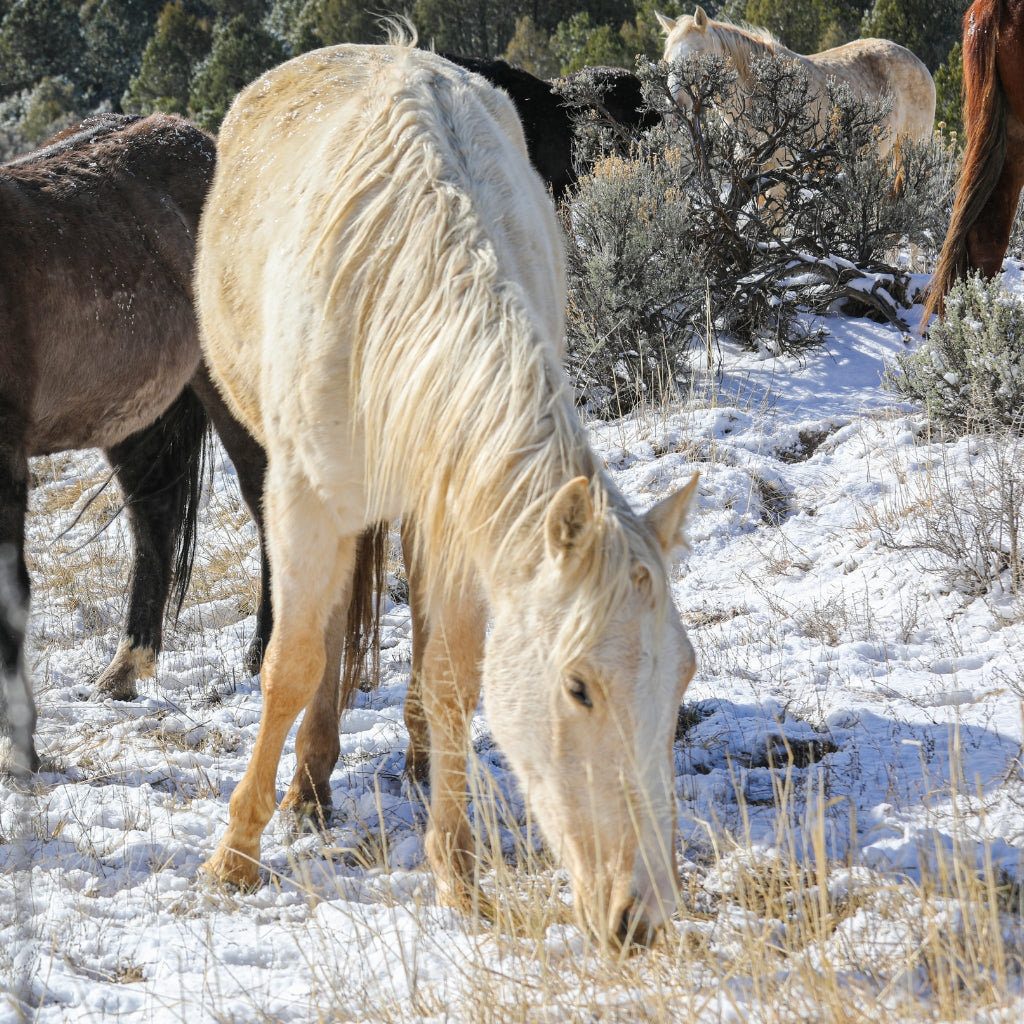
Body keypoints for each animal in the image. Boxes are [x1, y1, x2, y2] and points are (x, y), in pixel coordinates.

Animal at [195, 34, 700, 958]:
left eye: (683, 675)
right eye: (579, 687)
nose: (640, 917)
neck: (401, 290)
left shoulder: (463, 514)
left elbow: (455, 678)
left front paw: (457, 874)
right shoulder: (301, 497)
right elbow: (292, 664)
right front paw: (236, 854)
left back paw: (417, 759)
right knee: (327, 631)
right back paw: (309, 785)